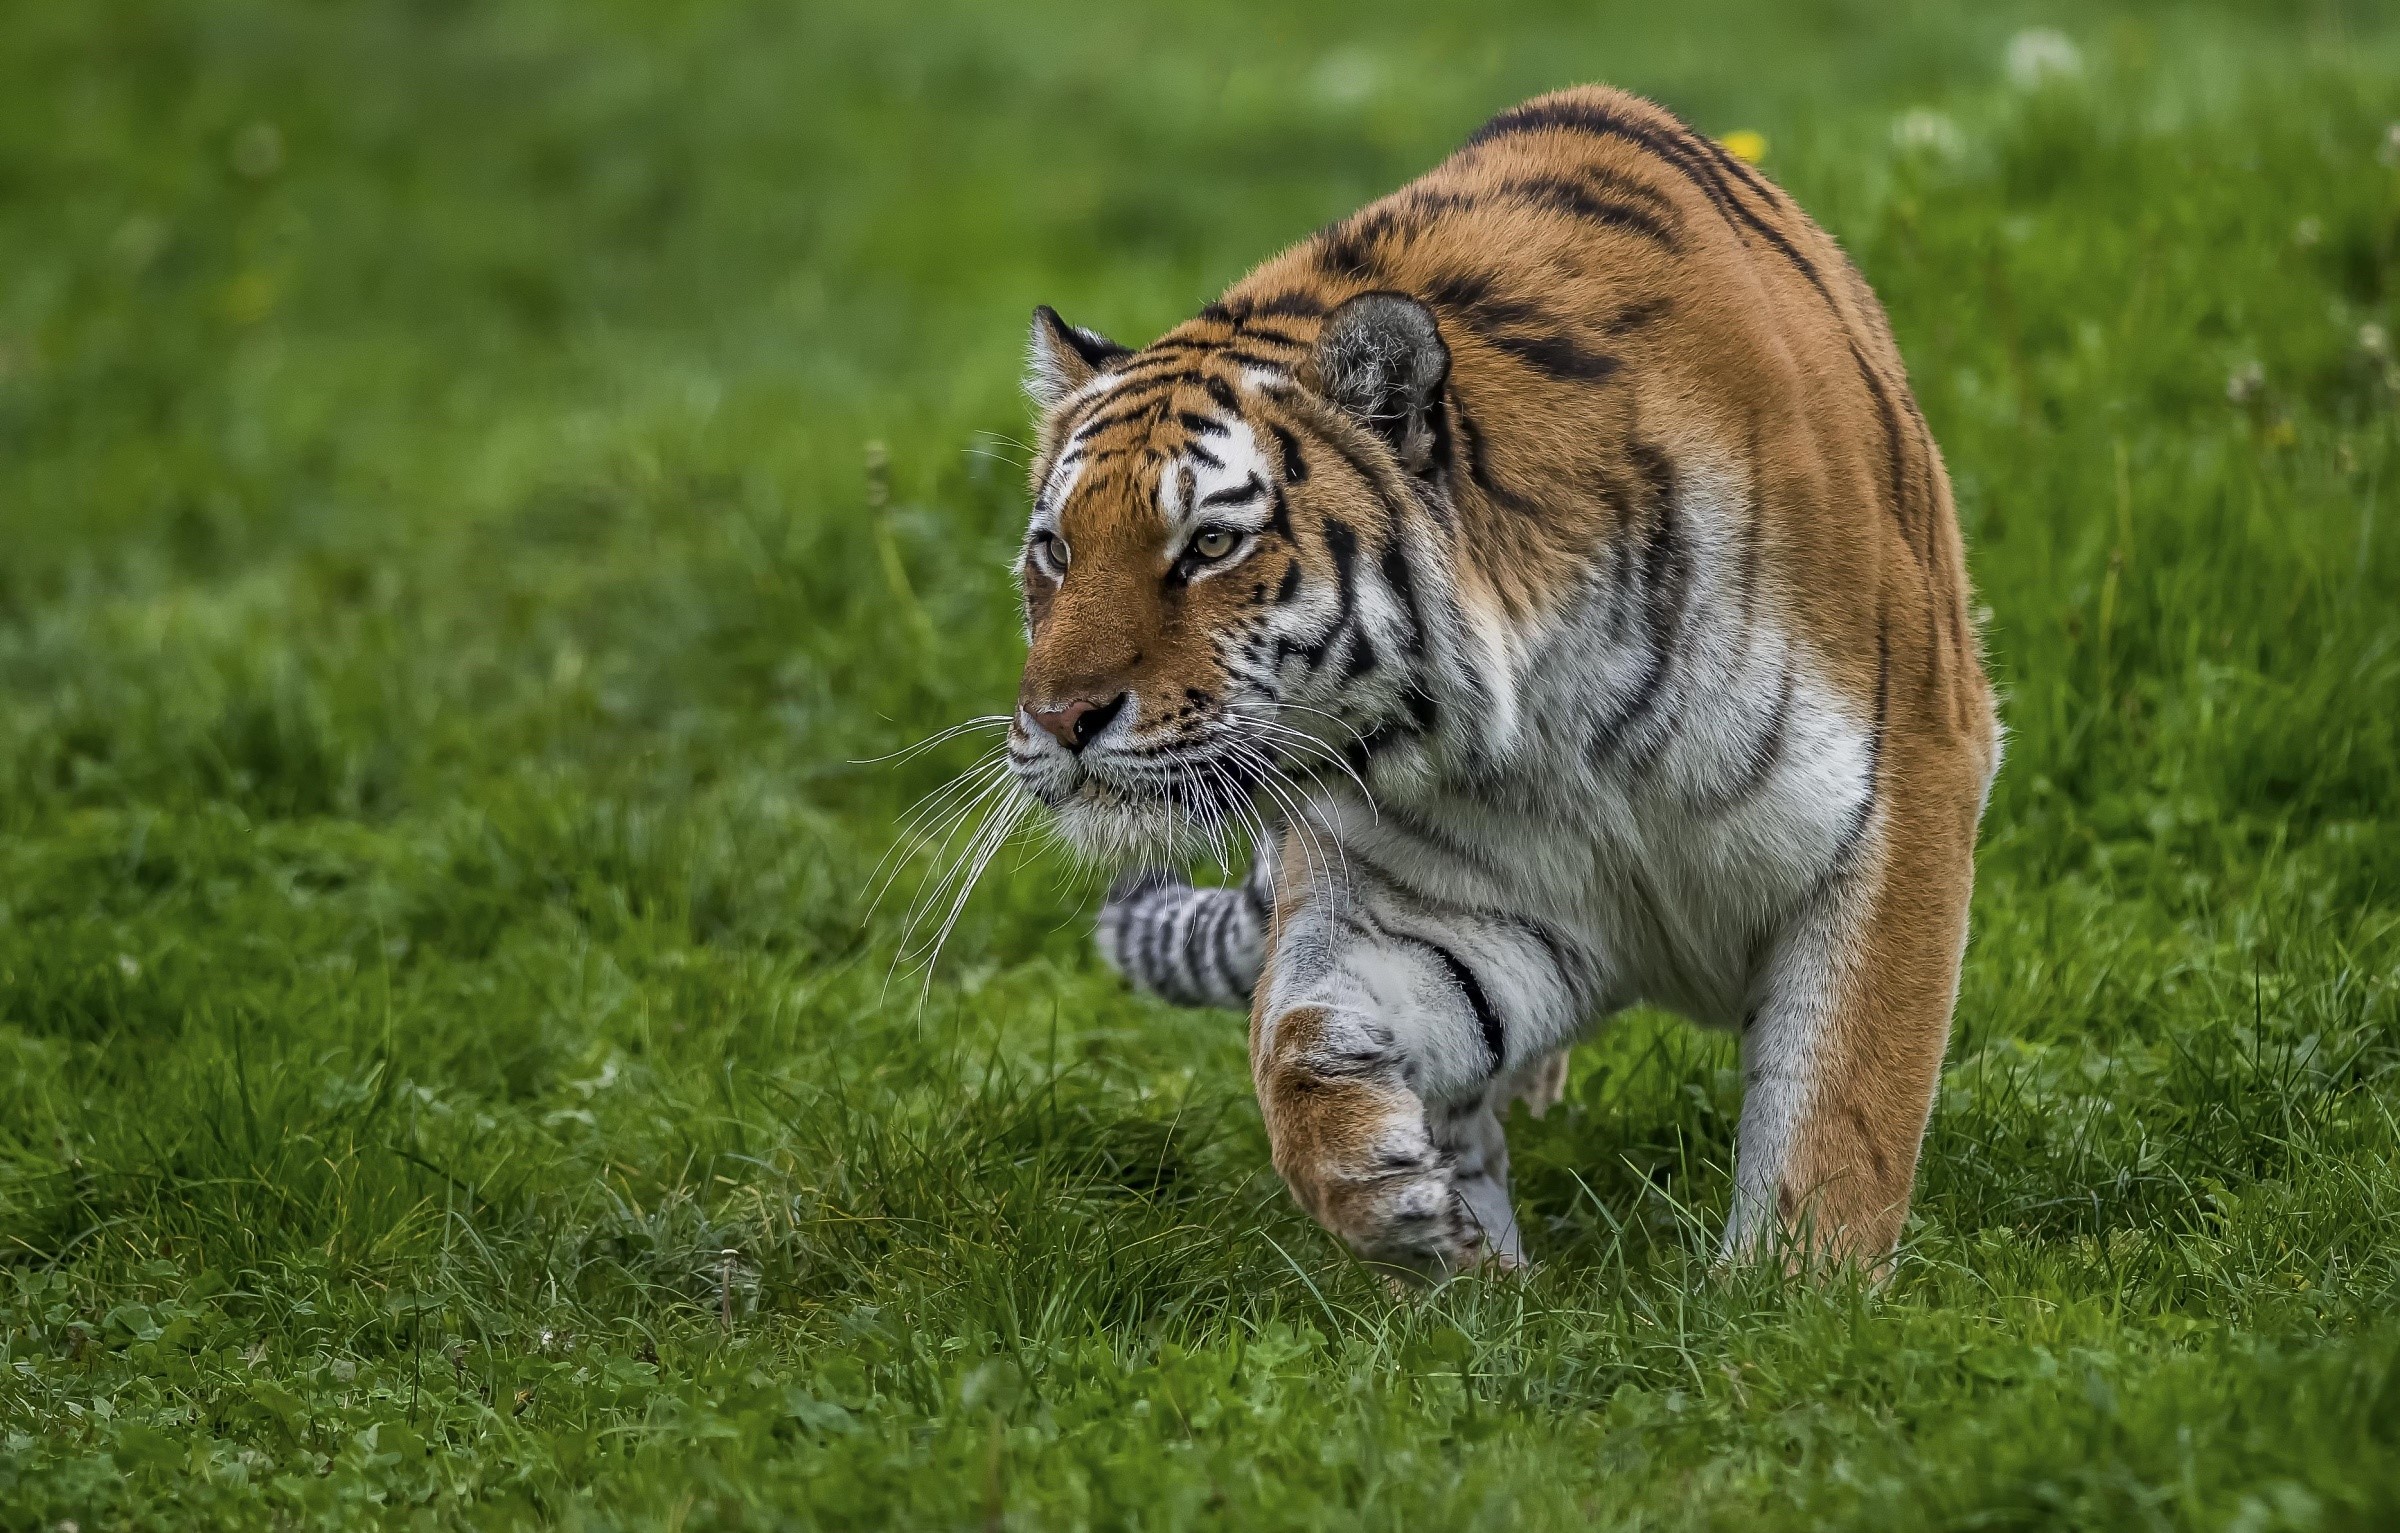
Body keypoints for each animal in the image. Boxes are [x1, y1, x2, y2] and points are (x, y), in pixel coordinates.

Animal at [1002, 84, 1999, 1280]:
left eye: (1207, 545)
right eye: (1056, 551)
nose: (1060, 718)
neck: (1550, 717)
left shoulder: (1903, 793)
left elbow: (1842, 1108)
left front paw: (1792, 1296)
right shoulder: (1434, 898)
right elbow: (1293, 1036)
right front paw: (1385, 1186)